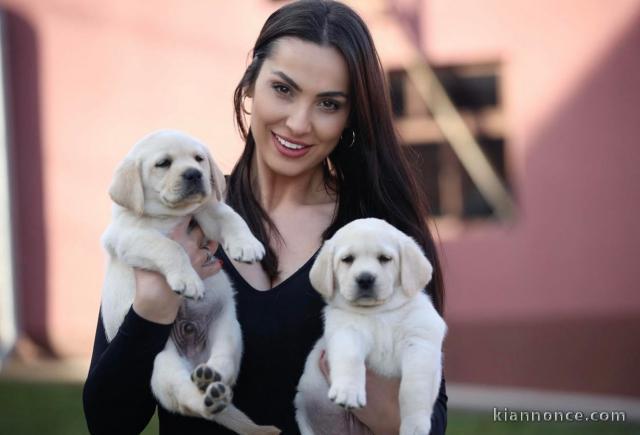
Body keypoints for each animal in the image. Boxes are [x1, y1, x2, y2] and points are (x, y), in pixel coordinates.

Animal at [101, 131, 278, 435]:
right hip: (163, 366)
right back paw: (209, 397)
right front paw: (188, 281)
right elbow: (169, 247)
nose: (195, 174)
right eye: (163, 163)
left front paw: (247, 245)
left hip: (229, 330)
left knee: (225, 366)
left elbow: (228, 214)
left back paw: (211, 378)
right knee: (188, 399)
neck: (168, 215)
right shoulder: (131, 237)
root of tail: (195, 358)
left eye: (199, 159)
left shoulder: (205, 210)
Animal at [296, 220, 444, 435]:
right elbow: (350, 357)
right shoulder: (347, 331)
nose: (365, 279)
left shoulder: (420, 341)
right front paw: (348, 391)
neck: (380, 313)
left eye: (385, 259)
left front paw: (414, 424)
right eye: (347, 259)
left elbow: (415, 386)